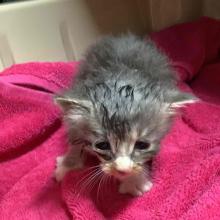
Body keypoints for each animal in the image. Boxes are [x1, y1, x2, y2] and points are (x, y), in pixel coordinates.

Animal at [54, 34, 197, 196]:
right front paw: (68, 164)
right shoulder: (72, 119)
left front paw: (134, 180)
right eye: (102, 145)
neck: (121, 78)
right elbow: (75, 139)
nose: (122, 169)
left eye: (142, 144)